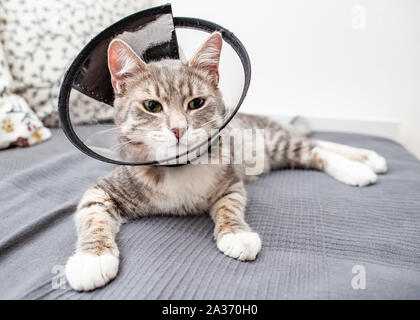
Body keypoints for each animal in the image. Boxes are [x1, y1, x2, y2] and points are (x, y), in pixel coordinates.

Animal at [65, 31, 388, 290]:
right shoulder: (105, 189)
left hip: (271, 144)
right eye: (152, 106)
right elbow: (91, 215)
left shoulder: (230, 180)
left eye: (196, 103)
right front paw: (92, 259)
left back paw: (361, 164)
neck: (180, 168)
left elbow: (230, 205)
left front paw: (236, 234)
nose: (179, 129)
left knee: (313, 147)